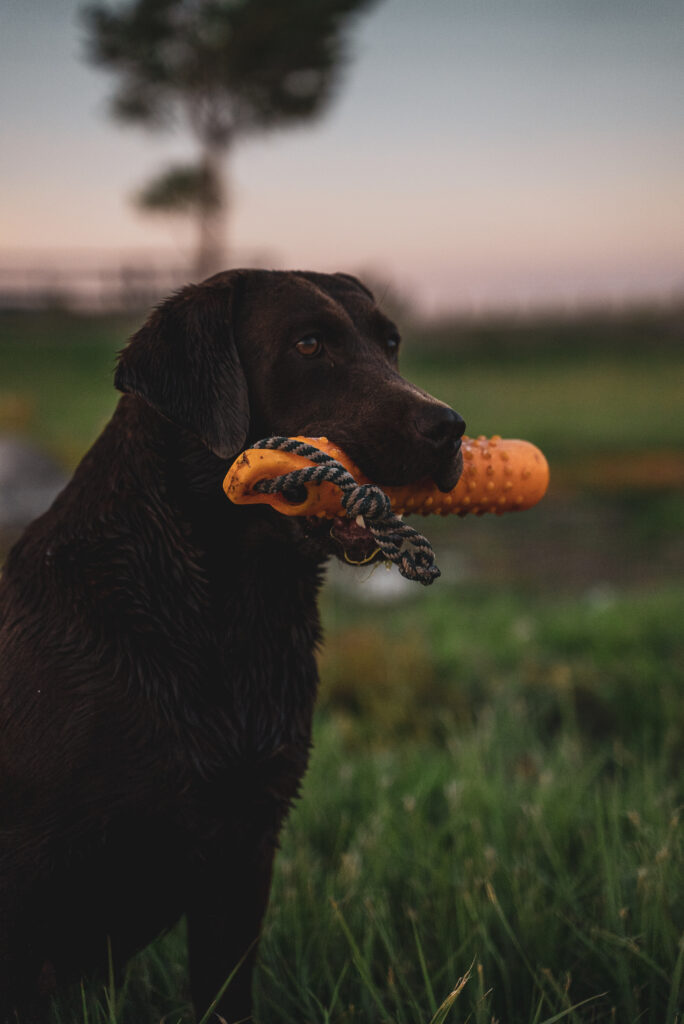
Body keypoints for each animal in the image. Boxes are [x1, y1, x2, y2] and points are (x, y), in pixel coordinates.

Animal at [0, 268, 464, 1019]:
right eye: (309, 344)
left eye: (390, 342)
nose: (451, 428)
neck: (227, 615)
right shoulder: (27, 876)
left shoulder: (244, 848)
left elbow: (225, 996)